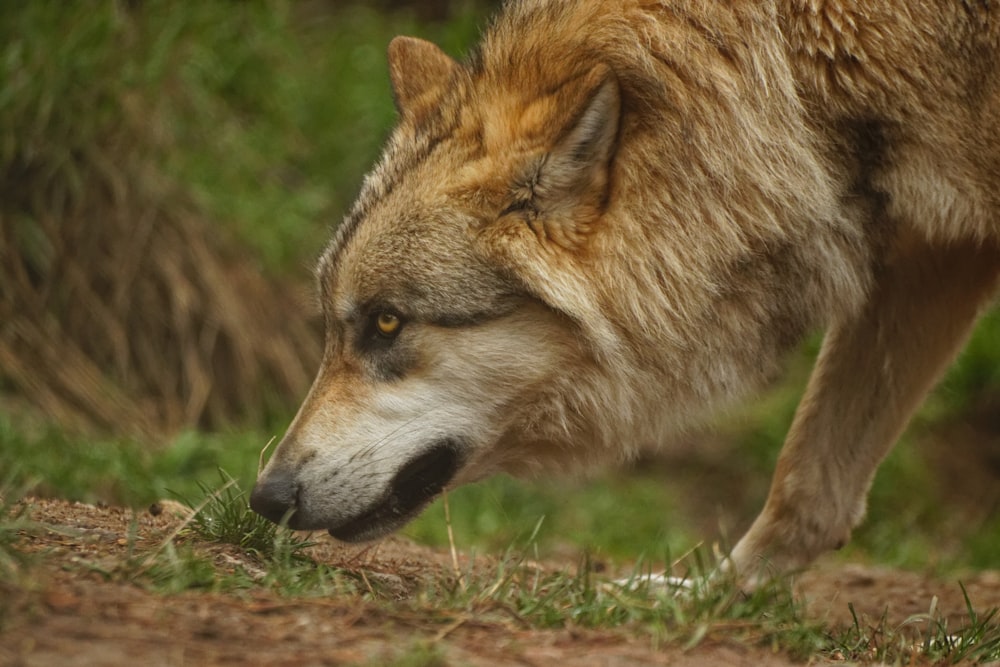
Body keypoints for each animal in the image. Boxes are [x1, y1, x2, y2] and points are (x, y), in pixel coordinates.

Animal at [252, 0, 1000, 576]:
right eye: (334, 327)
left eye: (386, 322)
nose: (265, 495)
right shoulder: (933, 256)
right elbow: (808, 487)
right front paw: (701, 605)